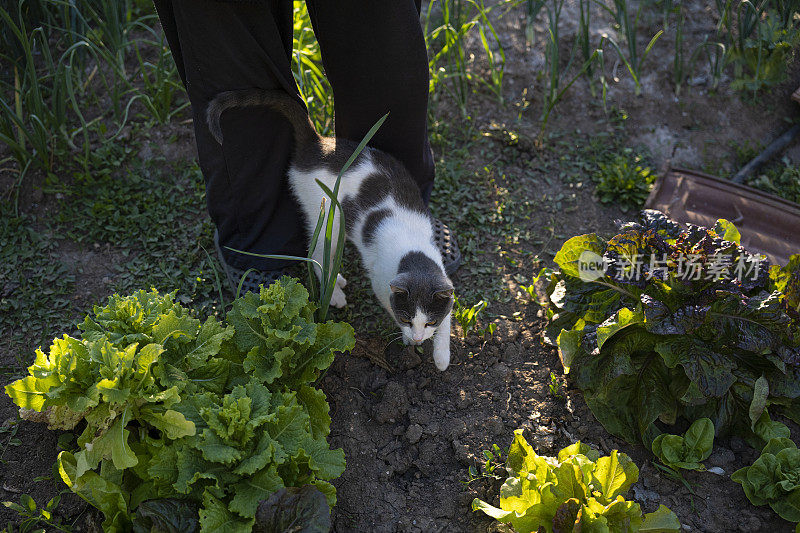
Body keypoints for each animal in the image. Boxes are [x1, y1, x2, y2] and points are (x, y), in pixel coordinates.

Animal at [206, 88, 456, 370]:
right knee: (315, 254)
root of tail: (318, 145)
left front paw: (441, 356)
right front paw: (408, 340)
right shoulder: (381, 282)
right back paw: (333, 292)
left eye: (430, 321)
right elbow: (388, 304)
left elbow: (447, 315)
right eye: (406, 318)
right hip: (327, 217)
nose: (418, 338)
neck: (412, 253)